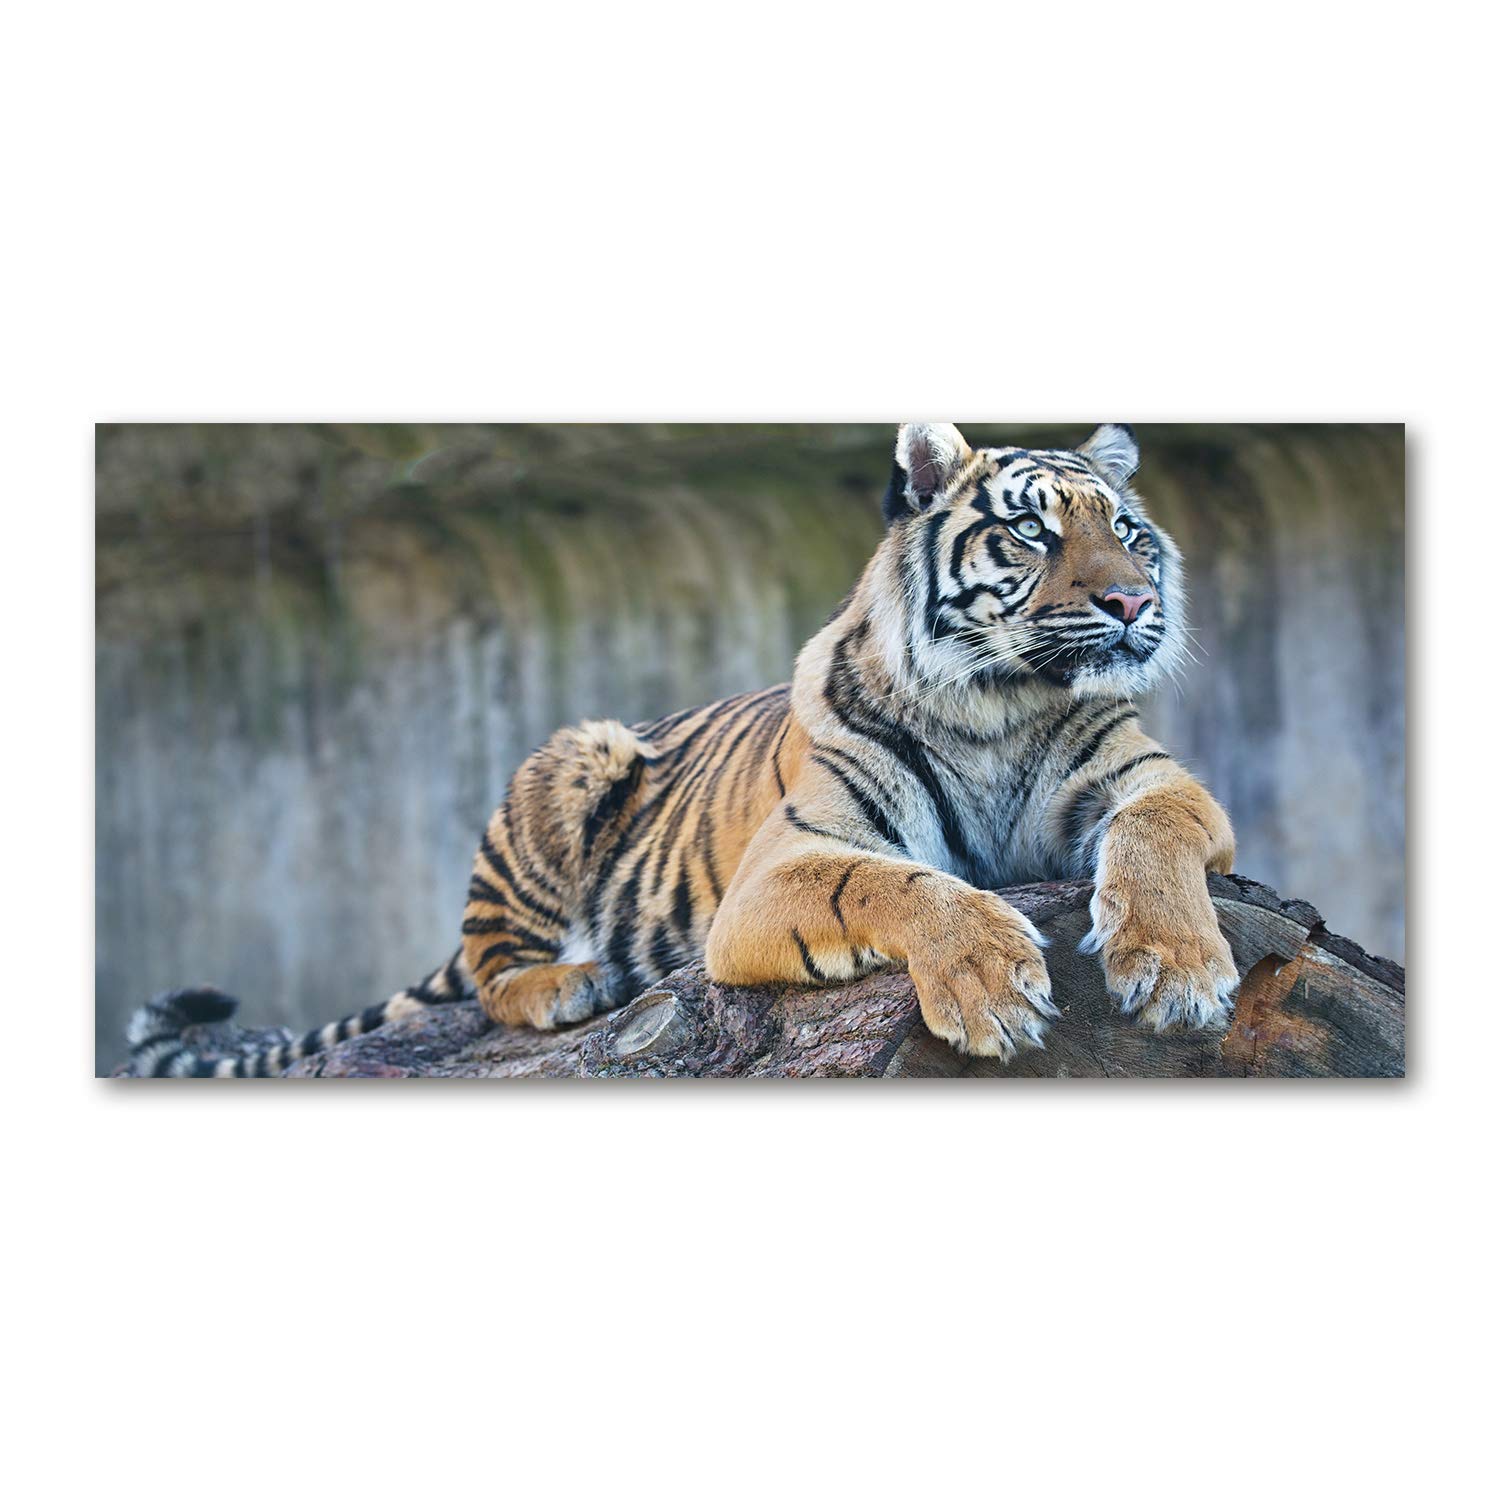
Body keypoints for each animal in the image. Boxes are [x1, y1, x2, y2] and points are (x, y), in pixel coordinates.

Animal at [126, 422, 1238, 1076]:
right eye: (1032, 533)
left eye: (1129, 532)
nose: (1132, 601)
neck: (998, 707)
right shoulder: (786, 866)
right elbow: (898, 885)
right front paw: (988, 984)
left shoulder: (1152, 782)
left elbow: (1158, 836)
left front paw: (1177, 969)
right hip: (573, 756)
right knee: (489, 969)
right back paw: (570, 983)